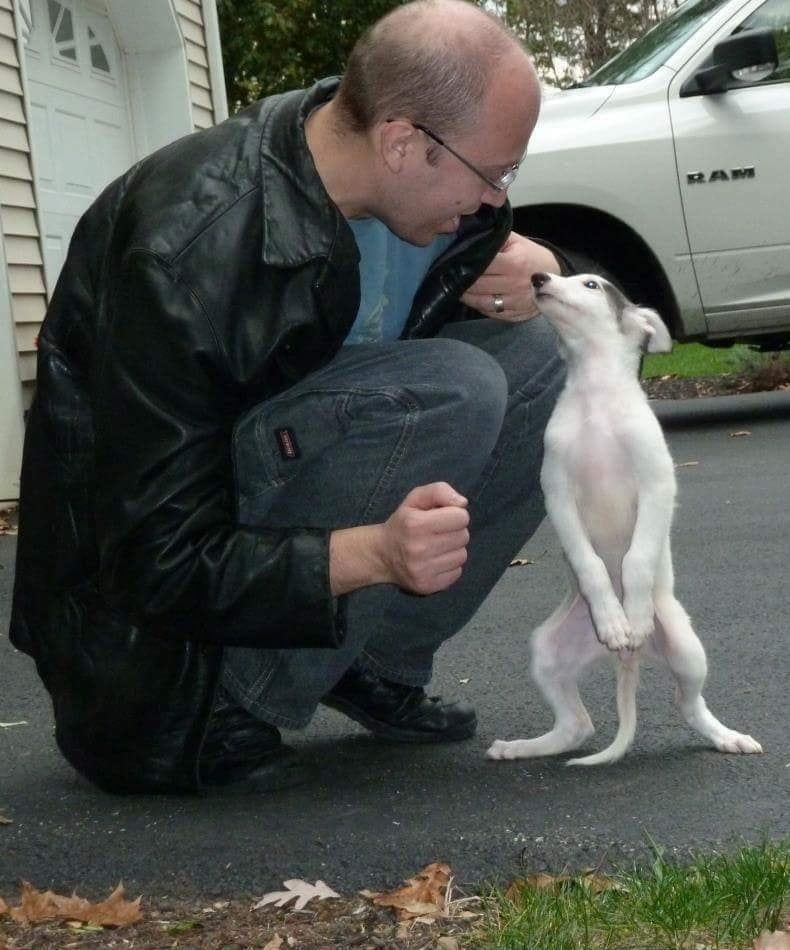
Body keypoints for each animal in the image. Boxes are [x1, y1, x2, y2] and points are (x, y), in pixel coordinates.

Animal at [488, 276, 760, 768]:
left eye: (592, 284)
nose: (539, 278)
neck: (595, 402)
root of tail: (629, 659)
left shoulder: (657, 485)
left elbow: (635, 560)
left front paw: (632, 615)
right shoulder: (557, 495)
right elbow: (593, 565)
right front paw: (615, 621)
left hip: (687, 649)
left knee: (688, 704)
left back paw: (726, 735)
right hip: (547, 650)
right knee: (577, 725)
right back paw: (522, 746)